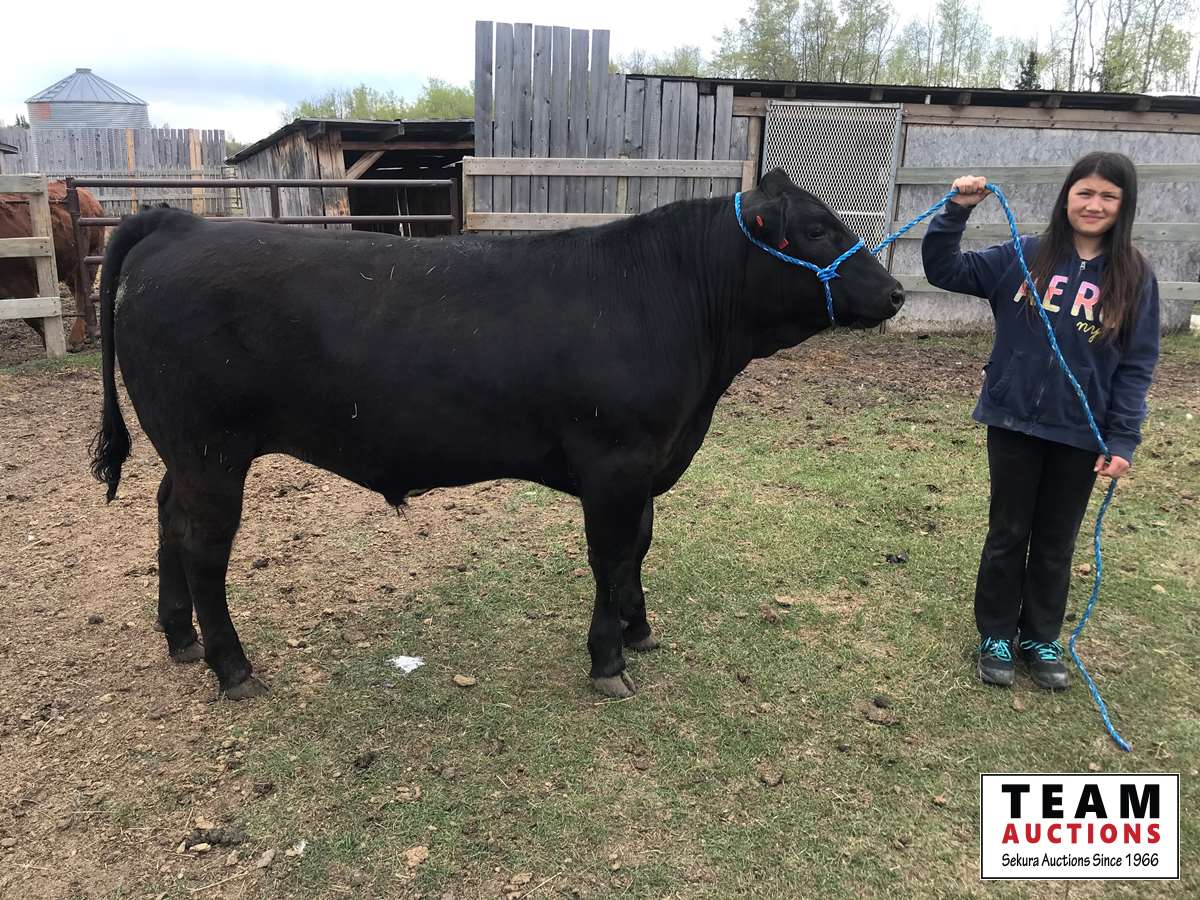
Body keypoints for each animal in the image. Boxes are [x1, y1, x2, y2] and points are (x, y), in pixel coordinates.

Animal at [90, 168, 905, 701]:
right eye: (818, 227)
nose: (896, 292)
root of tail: (181, 222)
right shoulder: (615, 461)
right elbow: (611, 554)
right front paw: (608, 660)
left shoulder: (648, 461)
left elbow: (639, 545)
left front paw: (638, 629)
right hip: (211, 450)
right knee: (203, 548)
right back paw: (232, 669)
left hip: (186, 453)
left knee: (166, 517)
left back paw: (180, 638)